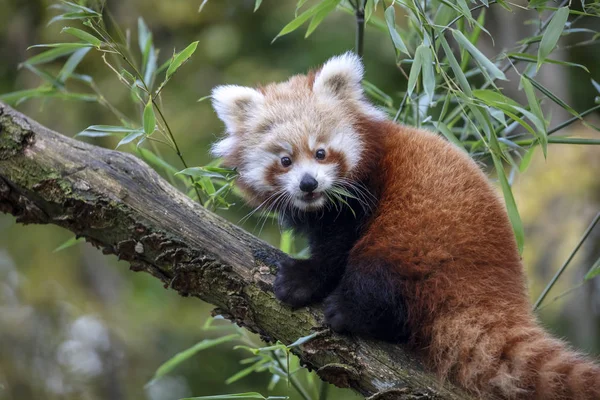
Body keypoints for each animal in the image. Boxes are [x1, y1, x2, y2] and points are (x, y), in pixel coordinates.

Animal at [212, 53, 600, 400]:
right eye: (285, 160)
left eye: (321, 152)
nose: (309, 184)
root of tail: (497, 289)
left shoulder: (362, 199)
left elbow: (336, 250)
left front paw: (301, 280)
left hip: (417, 238)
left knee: (382, 277)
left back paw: (349, 312)